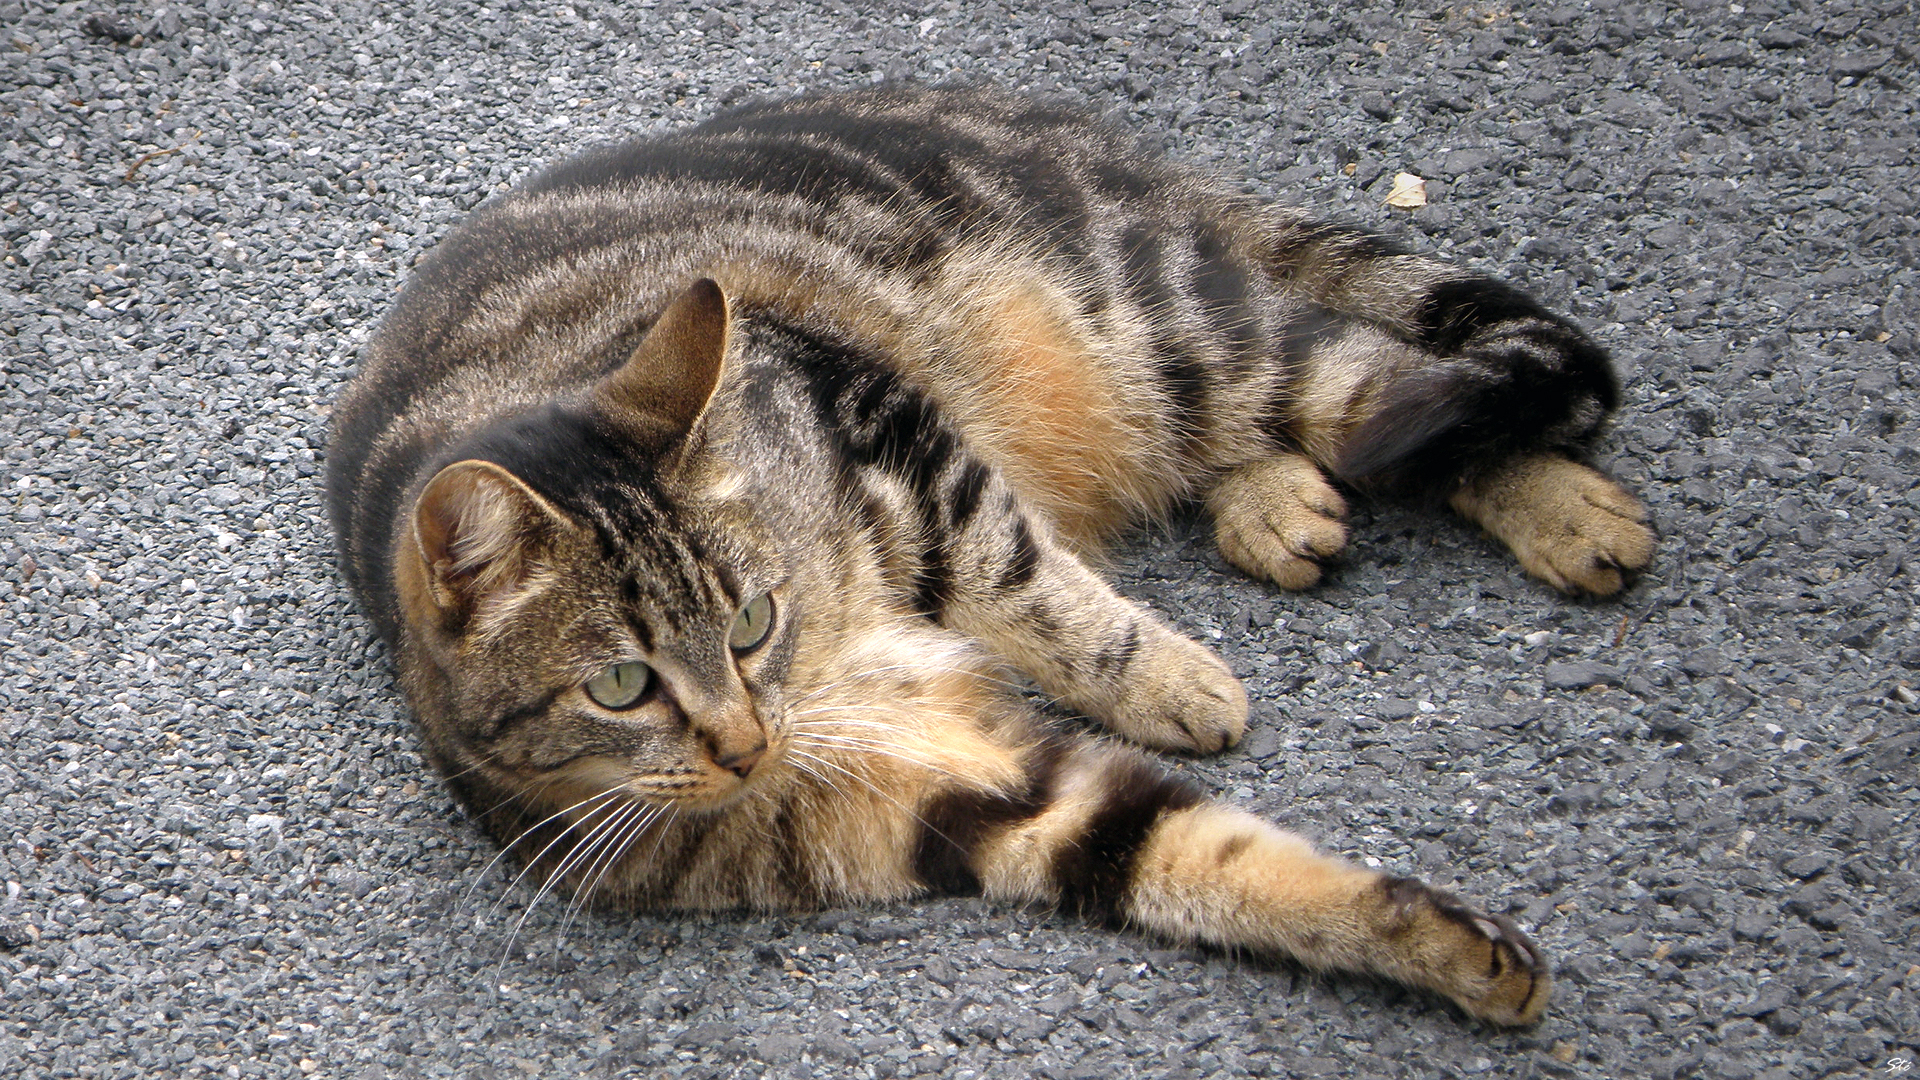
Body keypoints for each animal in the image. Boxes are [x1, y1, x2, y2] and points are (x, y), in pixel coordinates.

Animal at [326, 79, 1651, 1022]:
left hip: (1162, 325)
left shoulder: (894, 431)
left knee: (1385, 389)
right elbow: (1209, 861)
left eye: (752, 619)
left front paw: (1167, 678)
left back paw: (1565, 509)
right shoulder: (966, 796)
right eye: (620, 685)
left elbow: (1028, 583)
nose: (749, 744)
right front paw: (1434, 944)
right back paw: (1278, 504)